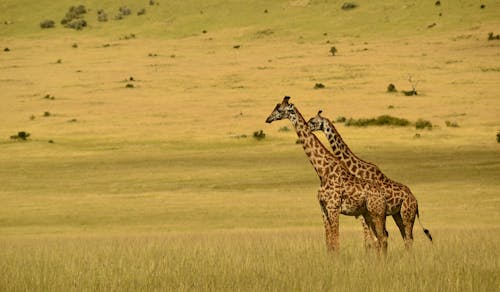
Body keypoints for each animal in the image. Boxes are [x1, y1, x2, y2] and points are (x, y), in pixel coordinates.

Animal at [264, 97, 388, 252]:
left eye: (279, 109)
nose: (268, 119)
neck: (323, 172)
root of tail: (382, 195)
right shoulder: (323, 209)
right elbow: (329, 244)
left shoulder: (333, 208)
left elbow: (336, 242)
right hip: (368, 214)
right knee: (378, 239)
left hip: (376, 213)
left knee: (382, 238)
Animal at [306, 110, 432, 248]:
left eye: (313, 121)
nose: (307, 127)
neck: (356, 169)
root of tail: (416, 201)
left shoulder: (364, 211)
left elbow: (371, 240)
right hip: (397, 214)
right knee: (405, 237)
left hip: (407, 215)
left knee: (408, 237)